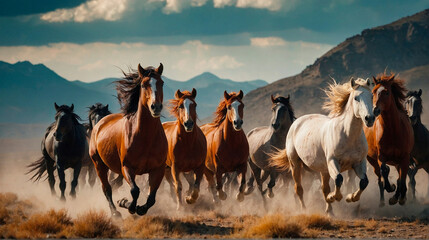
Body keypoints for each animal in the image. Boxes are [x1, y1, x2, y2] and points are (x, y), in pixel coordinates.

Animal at [88, 63, 166, 218]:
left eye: (161, 83)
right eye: (143, 84)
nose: (156, 107)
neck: (146, 138)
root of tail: (100, 123)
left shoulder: (158, 169)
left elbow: (151, 197)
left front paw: (140, 208)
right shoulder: (127, 167)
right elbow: (135, 191)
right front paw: (126, 204)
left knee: (114, 184)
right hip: (99, 164)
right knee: (106, 188)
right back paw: (115, 212)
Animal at [270, 78, 374, 215]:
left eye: (372, 96)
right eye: (356, 98)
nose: (369, 118)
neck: (348, 136)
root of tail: (296, 123)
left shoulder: (358, 163)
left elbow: (363, 182)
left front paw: (350, 197)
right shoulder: (332, 162)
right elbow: (338, 179)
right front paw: (335, 197)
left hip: (321, 170)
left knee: (324, 188)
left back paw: (329, 210)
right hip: (296, 165)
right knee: (299, 188)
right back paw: (304, 209)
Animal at [362, 73, 412, 206]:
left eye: (387, 92)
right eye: (373, 92)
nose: (374, 110)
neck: (393, 131)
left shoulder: (405, 158)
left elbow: (402, 179)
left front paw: (400, 198)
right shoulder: (381, 156)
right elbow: (384, 171)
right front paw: (391, 188)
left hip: (397, 161)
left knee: (400, 176)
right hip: (372, 160)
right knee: (380, 178)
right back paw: (382, 202)